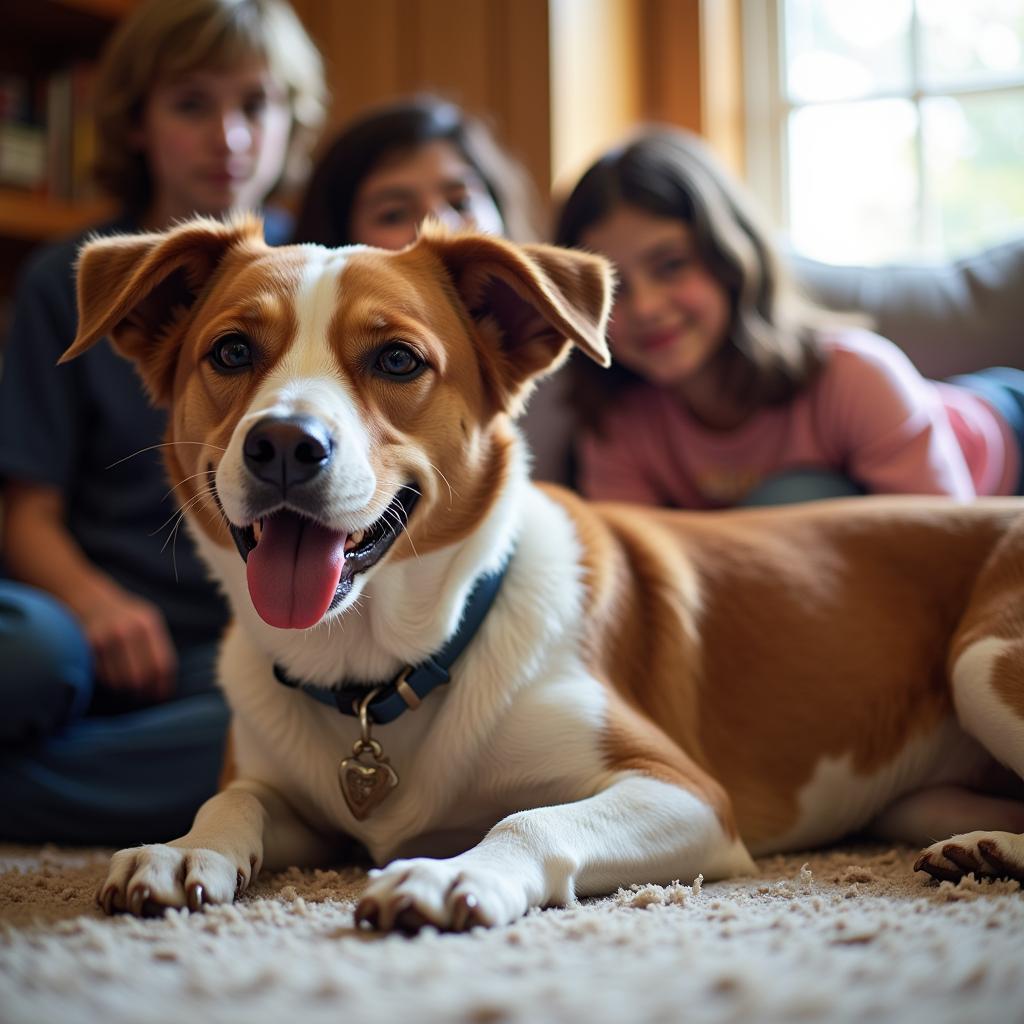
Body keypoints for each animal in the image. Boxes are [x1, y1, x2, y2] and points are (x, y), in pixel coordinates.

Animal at [66, 218, 1024, 937]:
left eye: (398, 361)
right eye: (231, 351)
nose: (284, 444)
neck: (382, 672)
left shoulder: (683, 793)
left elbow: (527, 817)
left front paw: (451, 875)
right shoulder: (283, 790)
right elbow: (233, 802)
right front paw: (182, 847)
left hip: (981, 664)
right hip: (917, 797)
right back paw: (981, 847)